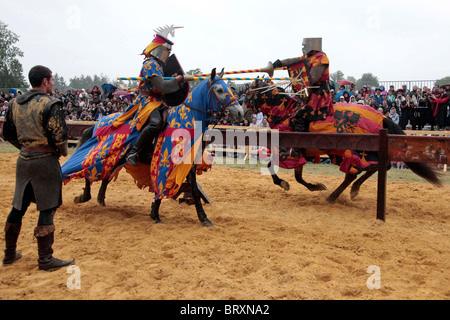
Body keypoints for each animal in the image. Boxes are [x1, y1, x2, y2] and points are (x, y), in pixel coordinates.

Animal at [241, 82, 442, 202]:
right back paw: (351, 190)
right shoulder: (302, 153)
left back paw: (335, 196)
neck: (286, 113)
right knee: (378, 167)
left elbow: (272, 167)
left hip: (349, 151)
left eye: (249, 92)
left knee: (358, 172)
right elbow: (298, 177)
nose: (242, 110)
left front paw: (284, 183)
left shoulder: (287, 151)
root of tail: (383, 117)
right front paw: (315, 187)